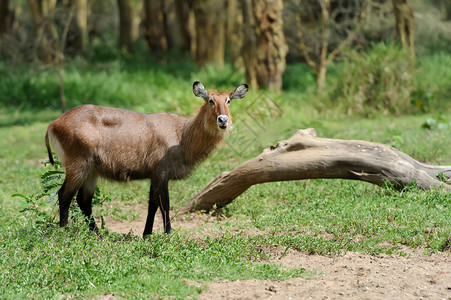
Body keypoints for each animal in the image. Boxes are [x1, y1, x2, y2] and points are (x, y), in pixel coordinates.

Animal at [45, 81, 249, 237]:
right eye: (210, 100)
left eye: (228, 100)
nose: (223, 120)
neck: (182, 135)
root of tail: (54, 123)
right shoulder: (162, 172)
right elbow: (164, 204)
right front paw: (168, 234)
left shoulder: (154, 175)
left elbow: (152, 205)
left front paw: (147, 234)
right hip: (78, 166)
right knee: (64, 196)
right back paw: (64, 232)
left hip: (91, 171)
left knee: (83, 200)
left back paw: (98, 234)